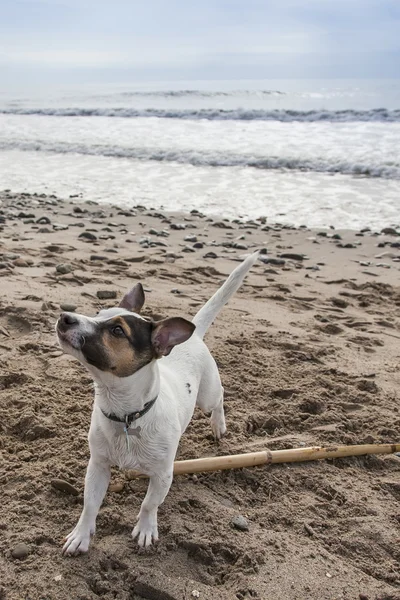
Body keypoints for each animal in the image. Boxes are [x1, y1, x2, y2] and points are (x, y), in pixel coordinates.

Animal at [56, 250, 258, 552]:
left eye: (117, 331)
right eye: (97, 313)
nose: (64, 317)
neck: (126, 414)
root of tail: (194, 337)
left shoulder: (163, 475)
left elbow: (149, 504)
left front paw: (145, 529)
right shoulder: (98, 466)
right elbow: (90, 503)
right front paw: (81, 535)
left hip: (207, 396)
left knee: (219, 397)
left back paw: (218, 426)